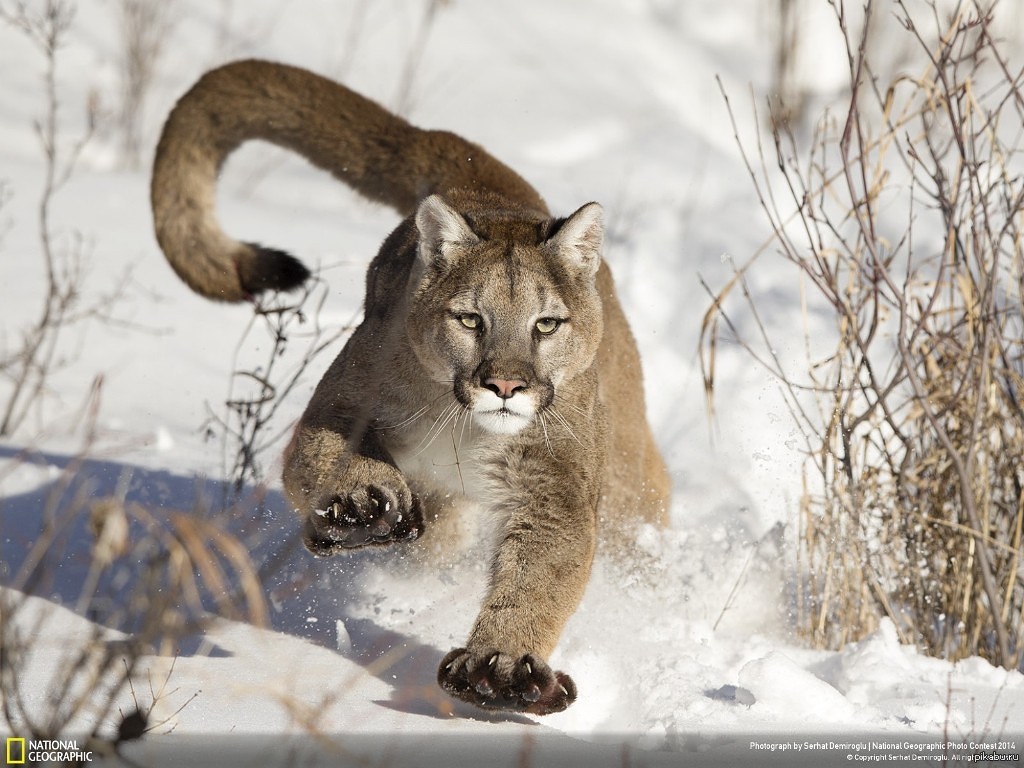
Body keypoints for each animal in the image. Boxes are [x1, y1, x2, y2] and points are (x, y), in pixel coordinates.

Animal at [148, 58, 667, 716]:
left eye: (546, 324)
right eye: (470, 319)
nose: (504, 384)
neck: (466, 428)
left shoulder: (556, 482)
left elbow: (543, 570)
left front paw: (502, 666)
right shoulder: (343, 402)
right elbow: (317, 458)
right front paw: (361, 504)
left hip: (625, 480)